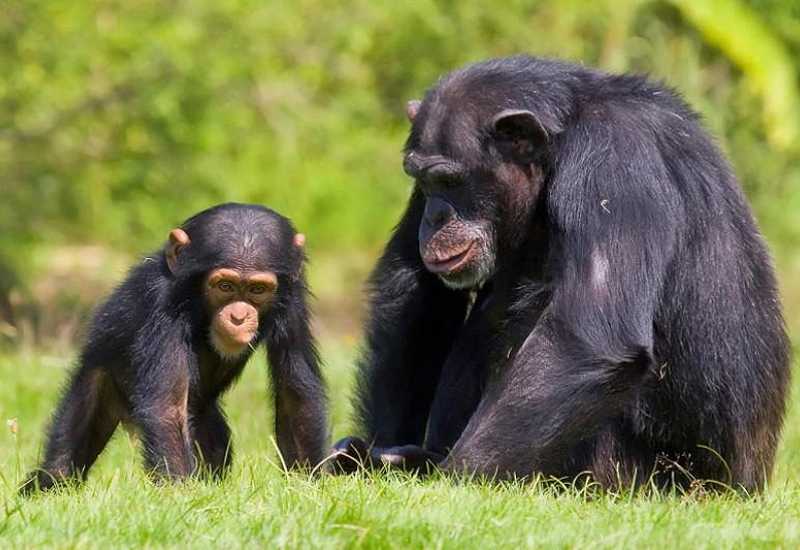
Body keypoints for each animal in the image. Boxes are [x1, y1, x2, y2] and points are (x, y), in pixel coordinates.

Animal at [21, 204, 328, 496]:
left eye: (257, 289)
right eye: (225, 286)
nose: (239, 316)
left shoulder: (294, 299)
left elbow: (295, 393)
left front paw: (306, 485)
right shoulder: (161, 301)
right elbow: (167, 407)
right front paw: (179, 493)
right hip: (97, 378)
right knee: (64, 458)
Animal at [330, 57, 788, 496]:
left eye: (450, 180)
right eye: (423, 180)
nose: (435, 216)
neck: (560, 144)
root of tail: (744, 487)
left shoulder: (613, 160)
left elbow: (587, 339)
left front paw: (453, 479)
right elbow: (418, 293)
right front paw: (381, 454)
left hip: (646, 479)